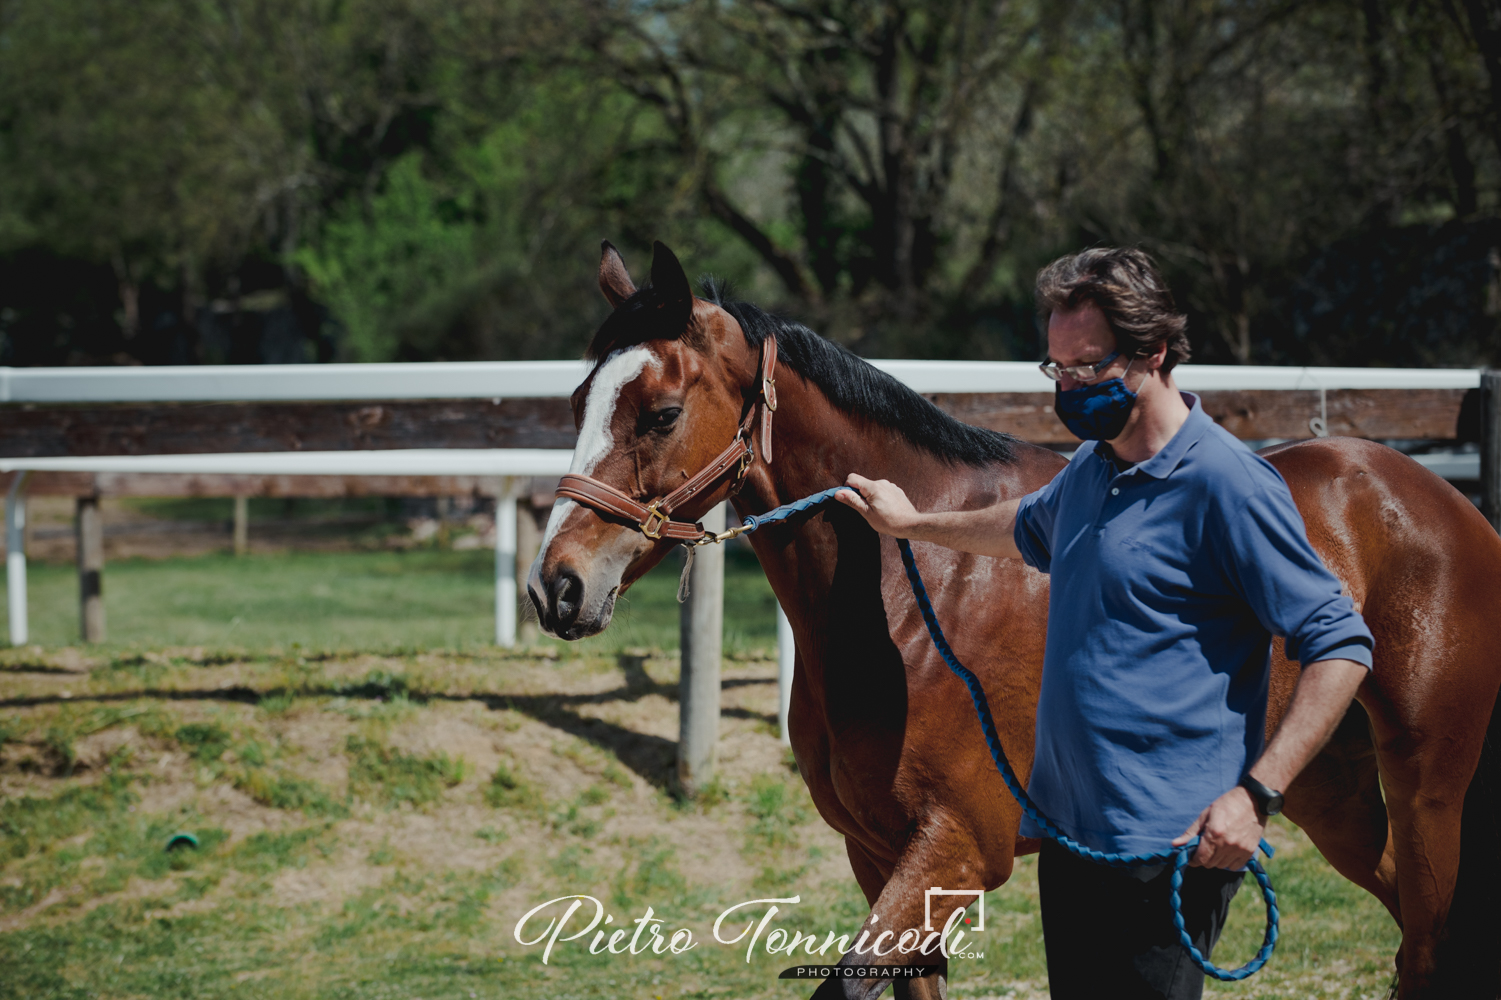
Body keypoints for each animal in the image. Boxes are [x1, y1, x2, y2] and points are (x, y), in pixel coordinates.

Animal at [525, 241, 1501, 996]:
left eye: (660, 413)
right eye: (576, 405)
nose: (555, 588)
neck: (911, 603)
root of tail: (1441, 503)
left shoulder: (958, 850)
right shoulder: (877, 855)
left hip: (1427, 793)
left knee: (1426, 947)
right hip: (1329, 797)